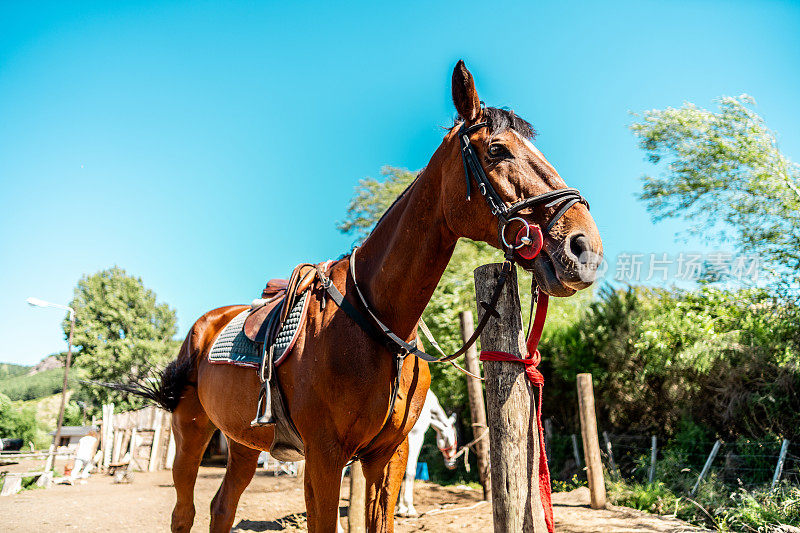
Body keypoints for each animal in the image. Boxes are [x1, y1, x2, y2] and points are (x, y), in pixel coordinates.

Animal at [396, 388, 456, 516]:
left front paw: (400, 507)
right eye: (454, 436)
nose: (452, 464)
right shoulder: (416, 436)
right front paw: (409, 508)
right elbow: (410, 471)